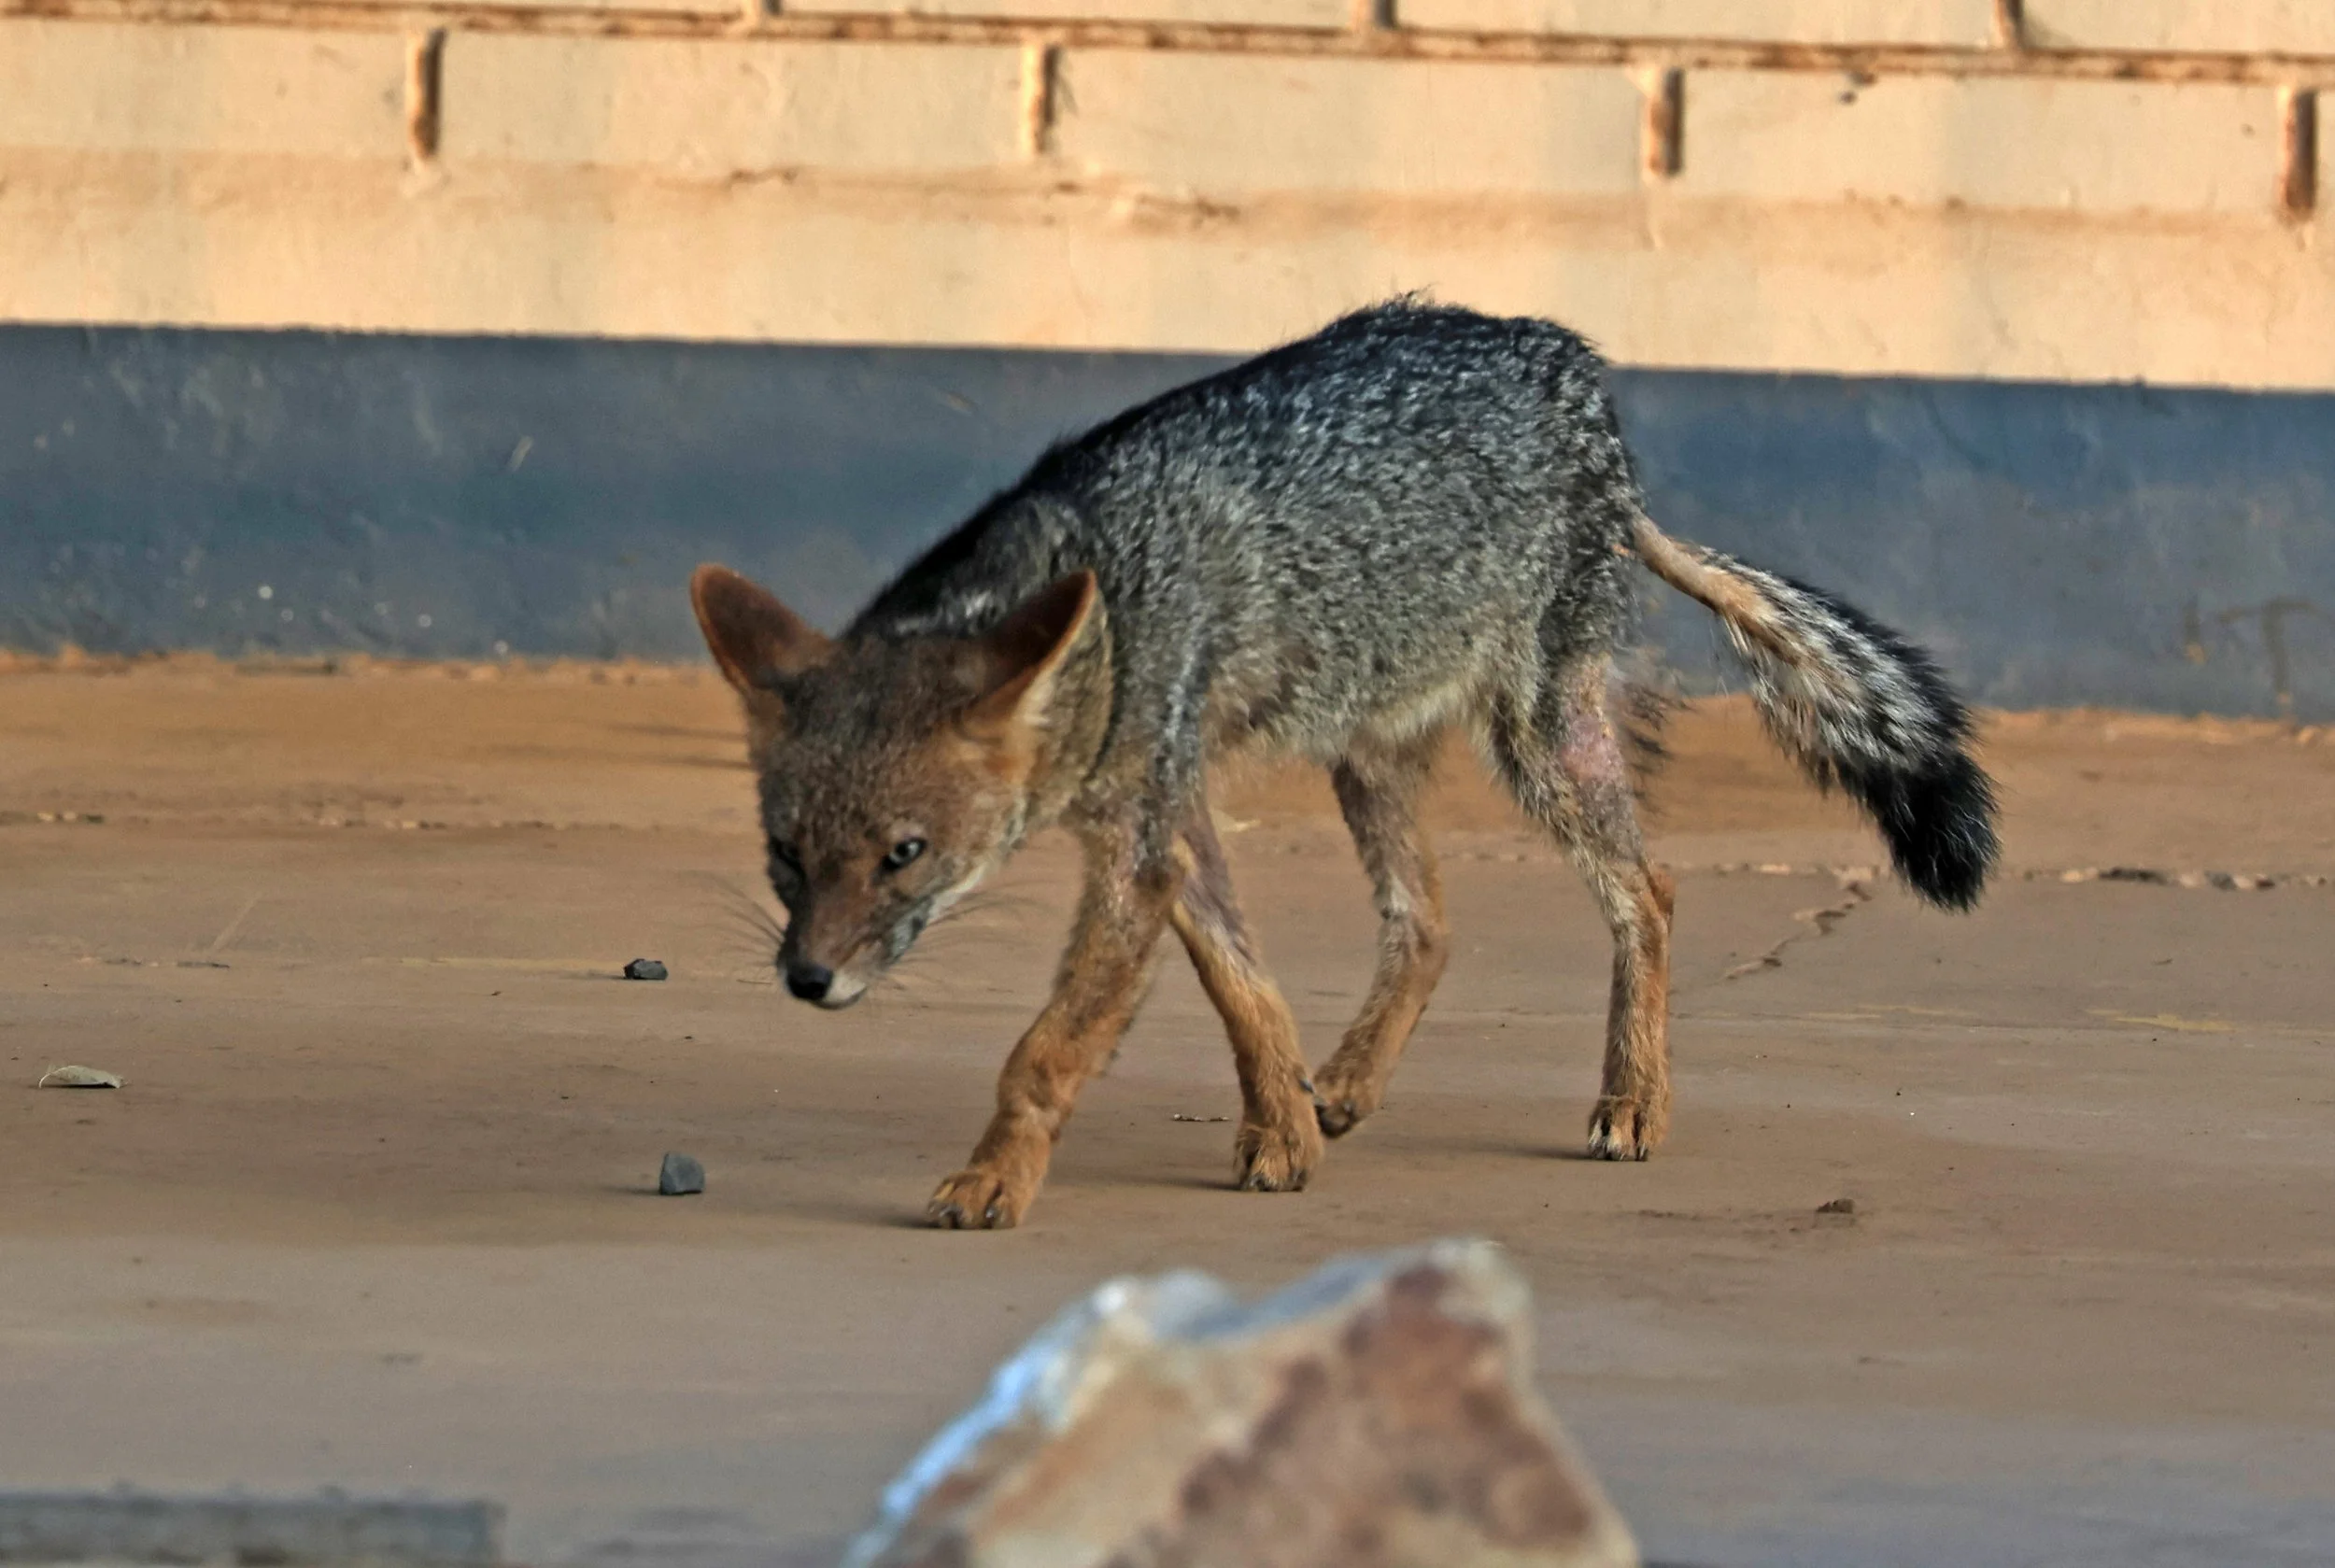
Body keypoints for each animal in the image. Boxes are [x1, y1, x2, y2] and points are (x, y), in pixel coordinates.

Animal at [691, 300, 1998, 1229]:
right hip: (1365, 751)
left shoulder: (1139, 837)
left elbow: (1046, 1047)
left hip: (1536, 744)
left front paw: (993, 1180)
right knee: (1428, 923)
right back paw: (1353, 1083)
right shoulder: (1168, 812)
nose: (805, 978)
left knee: (1650, 889)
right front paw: (1282, 1131)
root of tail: (1576, 369)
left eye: (905, 855)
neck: (1107, 600)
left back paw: (1632, 1097)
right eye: (783, 854)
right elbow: (1243, 982)